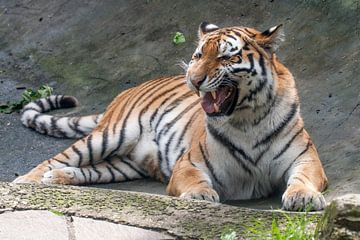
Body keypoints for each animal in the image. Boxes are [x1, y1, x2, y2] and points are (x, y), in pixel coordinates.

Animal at [13, 22, 330, 210]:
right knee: (56, 158)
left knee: (88, 169)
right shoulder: (188, 164)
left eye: (226, 56)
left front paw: (302, 196)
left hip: (124, 164)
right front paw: (200, 196)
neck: (246, 120)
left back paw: (58, 177)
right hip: (109, 136)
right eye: (198, 55)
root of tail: (126, 91)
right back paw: (26, 183)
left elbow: (304, 177)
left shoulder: (306, 159)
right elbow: (195, 181)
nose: (194, 79)